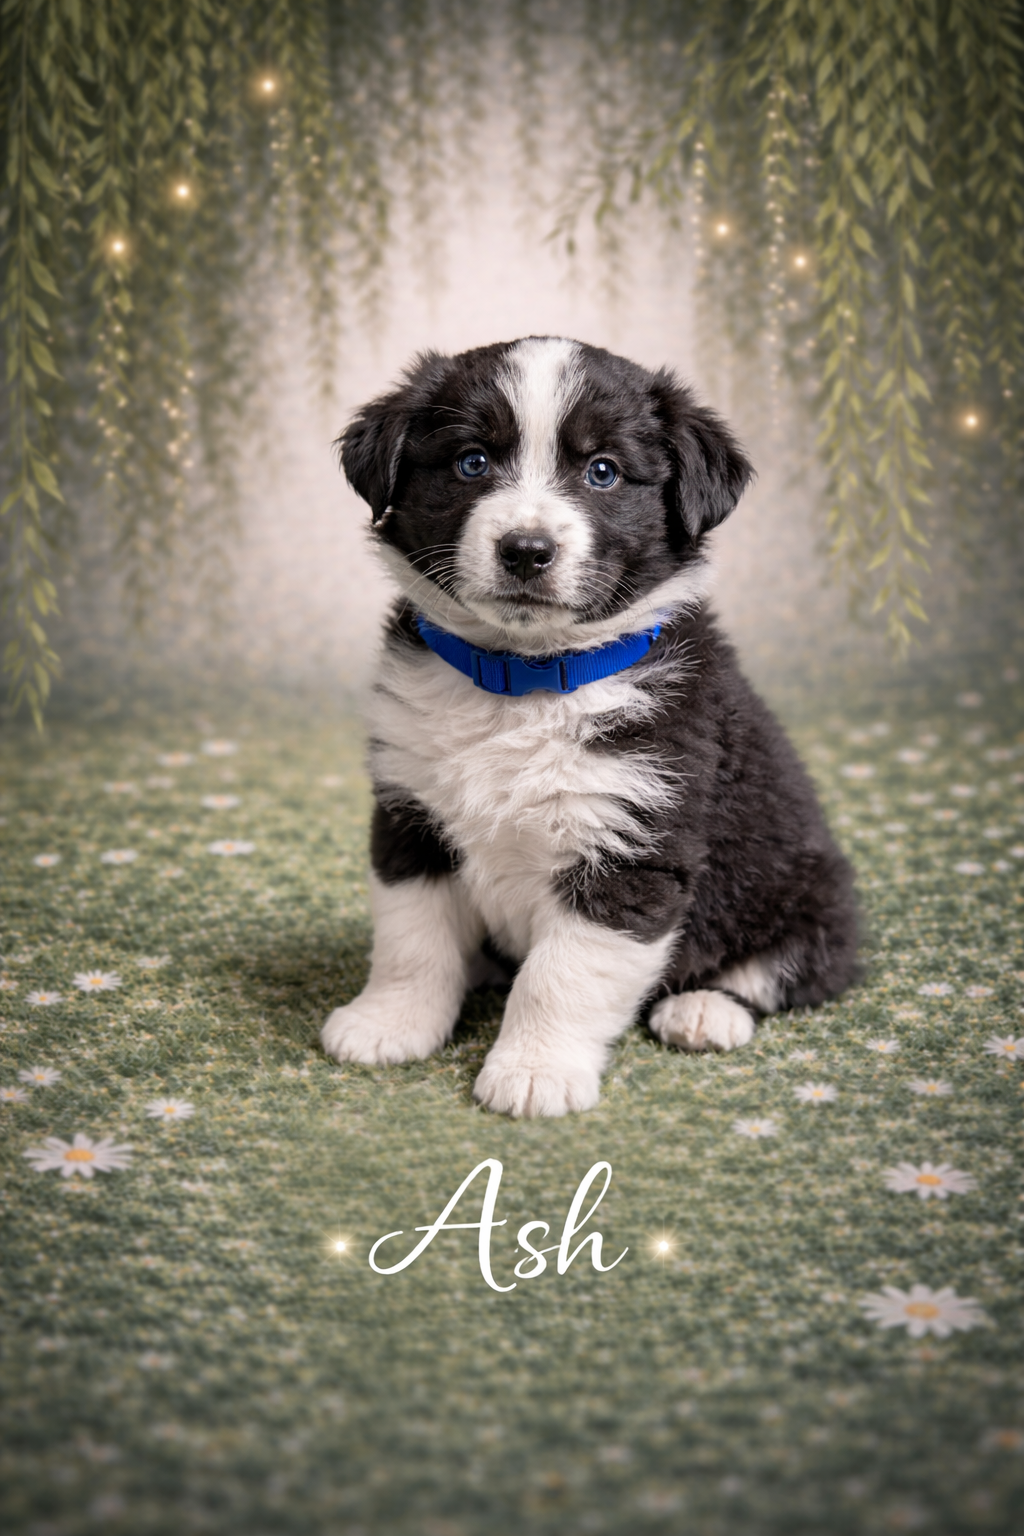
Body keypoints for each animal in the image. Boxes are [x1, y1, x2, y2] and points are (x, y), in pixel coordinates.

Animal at [321, 337, 859, 1116]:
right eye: (472, 461)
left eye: (602, 471)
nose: (526, 549)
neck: (523, 681)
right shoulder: (410, 816)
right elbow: (411, 940)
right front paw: (389, 1022)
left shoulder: (631, 847)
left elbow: (560, 977)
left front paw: (534, 1070)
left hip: (807, 890)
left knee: (778, 968)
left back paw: (705, 1010)